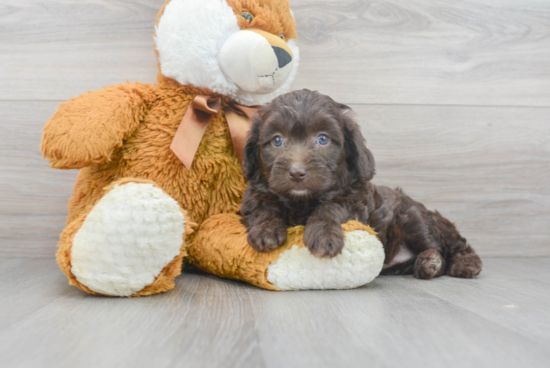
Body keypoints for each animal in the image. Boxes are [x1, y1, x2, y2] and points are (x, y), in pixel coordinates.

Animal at [242, 90, 484, 278]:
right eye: (277, 140)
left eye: (323, 139)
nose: (296, 173)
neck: (301, 201)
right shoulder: (254, 194)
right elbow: (263, 206)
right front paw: (266, 231)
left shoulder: (354, 198)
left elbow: (329, 207)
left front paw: (324, 236)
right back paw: (427, 264)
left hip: (414, 218)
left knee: (451, 245)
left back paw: (463, 263)